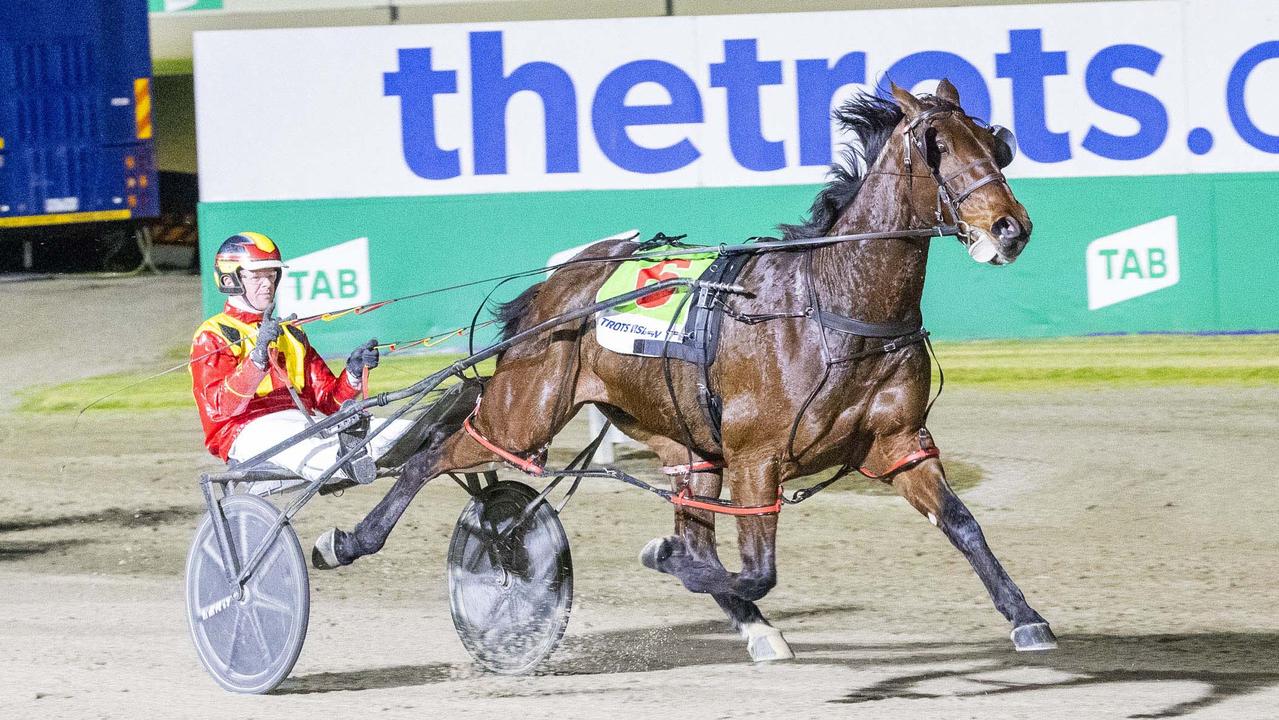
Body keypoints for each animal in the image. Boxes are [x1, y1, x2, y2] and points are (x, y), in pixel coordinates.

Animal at [317, 81, 1059, 659]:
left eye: (993, 141)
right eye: (936, 145)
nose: (1010, 227)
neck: (831, 303)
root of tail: (559, 287)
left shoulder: (899, 444)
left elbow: (962, 525)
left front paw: (1026, 617)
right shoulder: (757, 458)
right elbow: (755, 568)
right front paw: (673, 562)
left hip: (683, 441)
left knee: (688, 518)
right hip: (522, 414)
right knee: (433, 453)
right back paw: (348, 540)